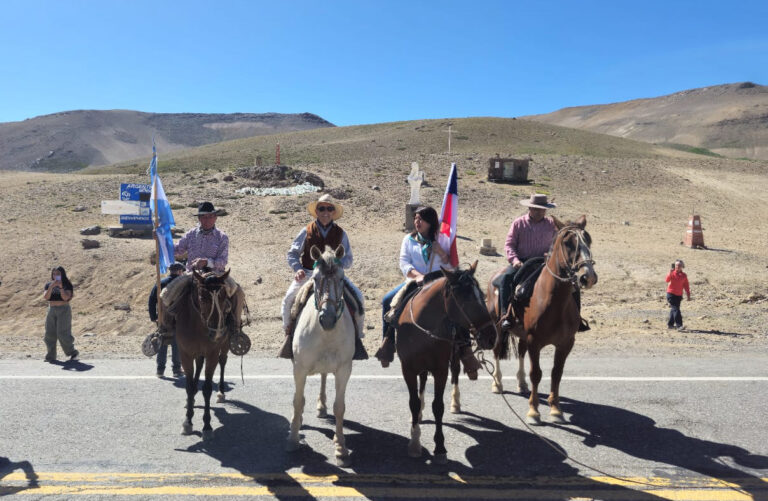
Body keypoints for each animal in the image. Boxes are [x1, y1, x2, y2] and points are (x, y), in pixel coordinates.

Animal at [174, 270, 234, 438]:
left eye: (224, 297)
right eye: (202, 298)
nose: (216, 333)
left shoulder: (212, 353)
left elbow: (207, 389)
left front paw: (207, 425)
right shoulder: (185, 354)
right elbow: (188, 387)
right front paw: (187, 421)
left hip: (224, 345)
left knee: (223, 361)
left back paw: (220, 393)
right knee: (199, 366)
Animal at [288, 244, 356, 466]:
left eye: (342, 279)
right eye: (316, 278)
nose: (327, 319)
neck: (326, 334)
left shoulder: (344, 369)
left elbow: (339, 407)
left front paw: (341, 448)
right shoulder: (299, 368)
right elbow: (298, 401)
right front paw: (293, 438)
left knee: (325, 377)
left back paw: (321, 406)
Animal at [396, 264, 498, 462]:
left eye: (482, 294)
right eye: (465, 299)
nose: (491, 337)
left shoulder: (441, 370)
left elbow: (438, 406)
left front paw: (440, 447)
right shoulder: (408, 369)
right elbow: (413, 403)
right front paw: (414, 443)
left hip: (455, 354)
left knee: (456, 373)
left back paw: (455, 404)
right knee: (422, 382)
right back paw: (419, 414)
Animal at [486, 217, 600, 424]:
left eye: (588, 240)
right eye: (568, 242)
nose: (588, 276)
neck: (554, 301)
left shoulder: (565, 343)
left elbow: (556, 373)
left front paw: (555, 410)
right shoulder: (535, 341)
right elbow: (536, 374)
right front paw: (533, 412)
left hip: (522, 334)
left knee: (521, 352)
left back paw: (522, 383)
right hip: (498, 326)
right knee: (497, 351)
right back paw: (497, 383)